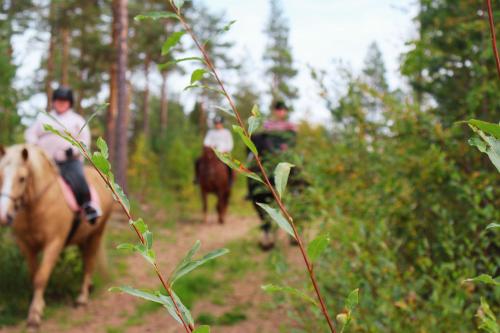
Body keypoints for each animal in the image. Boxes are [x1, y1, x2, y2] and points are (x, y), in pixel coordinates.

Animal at [0, 144, 113, 328]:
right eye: (1, 175)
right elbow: (34, 275)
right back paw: (88, 288)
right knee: (86, 260)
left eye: (22, 178)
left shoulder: (54, 243)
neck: (37, 204)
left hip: (97, 233)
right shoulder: (26, 245)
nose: (4, 215)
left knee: (89, 262)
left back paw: (82, 298)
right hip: (83, 237)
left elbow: (41, 277)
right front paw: (39, 306)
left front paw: (35, 315)